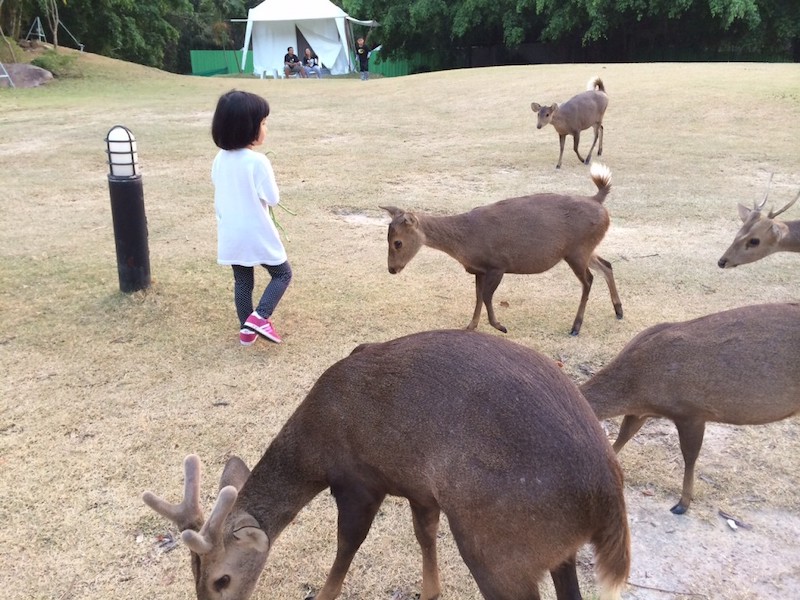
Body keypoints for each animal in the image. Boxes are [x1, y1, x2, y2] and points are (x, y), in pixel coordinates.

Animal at [142, 330, 632, 596]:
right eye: (193, 575)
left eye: (221, 580)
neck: (316, 446)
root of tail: (608, 493)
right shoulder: (419, 486)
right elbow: (425, 535)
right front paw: (431, 591)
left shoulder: (359, 481)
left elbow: (347, 545)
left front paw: (324, 595)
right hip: (554, 547)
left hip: (498, 542)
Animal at [382, 162, 624, 336]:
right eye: (388, 238)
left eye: (397, 242)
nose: (391, 269)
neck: (465, 243)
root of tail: (599, 201)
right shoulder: (479, 270)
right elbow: (478, 297)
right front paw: (470, 326)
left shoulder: (498, 264)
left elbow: (487, 297)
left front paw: (500, 326)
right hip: (583, 249)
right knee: (607, 265)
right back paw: (619, 311)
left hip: (577, 250)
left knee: (589, 280)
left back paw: (576, 327)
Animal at [580, 304, 800, 516]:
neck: (636, 386)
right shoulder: (640, 411)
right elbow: (623, 436)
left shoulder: (690, 412)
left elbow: (689, 456)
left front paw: (682, 504)